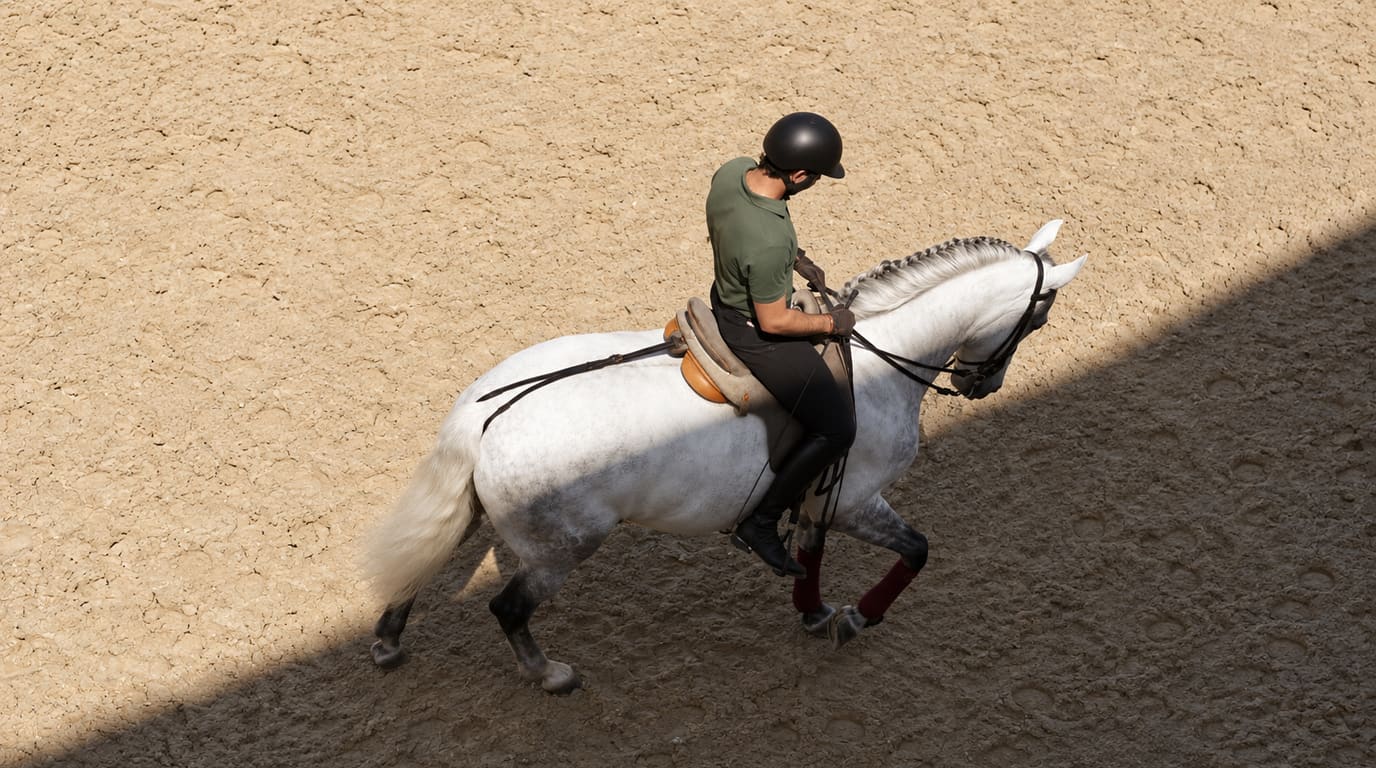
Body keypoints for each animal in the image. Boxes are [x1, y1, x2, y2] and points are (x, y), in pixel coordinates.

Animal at [364, 220, 1087, 693]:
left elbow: (810, 556)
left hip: (480, 516)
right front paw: (856, 618)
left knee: (424, 565)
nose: (982, 385)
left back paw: (388, 643)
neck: (885, 356)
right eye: (1039, 319)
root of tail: (486, 412)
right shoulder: (855, 498)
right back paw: (550, 675)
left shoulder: (821, 495)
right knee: (508, 610)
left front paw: (815, 611)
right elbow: (916, 551)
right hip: (560, 549)